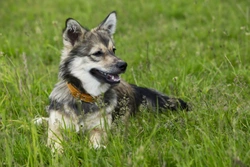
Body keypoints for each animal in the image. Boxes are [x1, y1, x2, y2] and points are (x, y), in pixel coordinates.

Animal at [35, 11, 189, 153]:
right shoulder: (56, 129)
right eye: (97, 53)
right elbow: (56, 143)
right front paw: (58, 153)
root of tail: (135, 88)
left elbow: (95, 142)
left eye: (113, 50)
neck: (85, 97)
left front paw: (96, 148)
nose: (124, 65)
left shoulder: (100, 128)